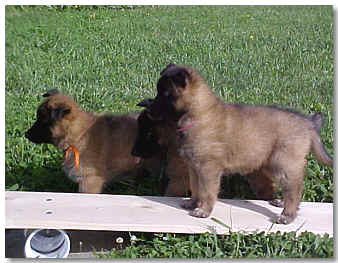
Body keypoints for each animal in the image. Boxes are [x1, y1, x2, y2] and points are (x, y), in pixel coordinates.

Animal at [143, 64, 332, 225]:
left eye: (165, 94)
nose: (149, 109)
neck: (198, 113)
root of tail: (308, 123)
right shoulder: (194, 168)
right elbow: (196, 188)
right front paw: (193, 203)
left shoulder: (208, 169)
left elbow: (207, 191)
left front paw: (204, 210)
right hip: (271, 163)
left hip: (283, 163)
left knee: (294, 189)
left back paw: (287, 215)